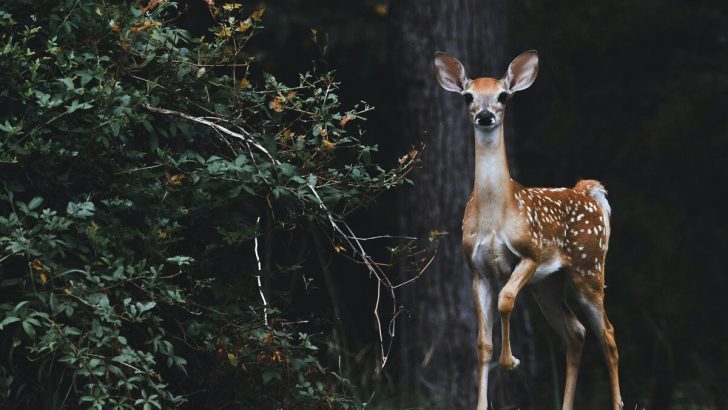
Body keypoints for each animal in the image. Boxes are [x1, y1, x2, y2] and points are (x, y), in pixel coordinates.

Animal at [436, 48, 624, 410]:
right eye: (468, 96)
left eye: (503, 95)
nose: (484, 115)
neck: (495, 216)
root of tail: (588, 192)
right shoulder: (477, 269)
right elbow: (482, 344)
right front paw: (482, 402)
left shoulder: (530, 253)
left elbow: (506, 300)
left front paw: (511, 361)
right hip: (548, 284)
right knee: (575, 332)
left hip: (589, 267)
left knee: (607, 333)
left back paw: (618, 403)